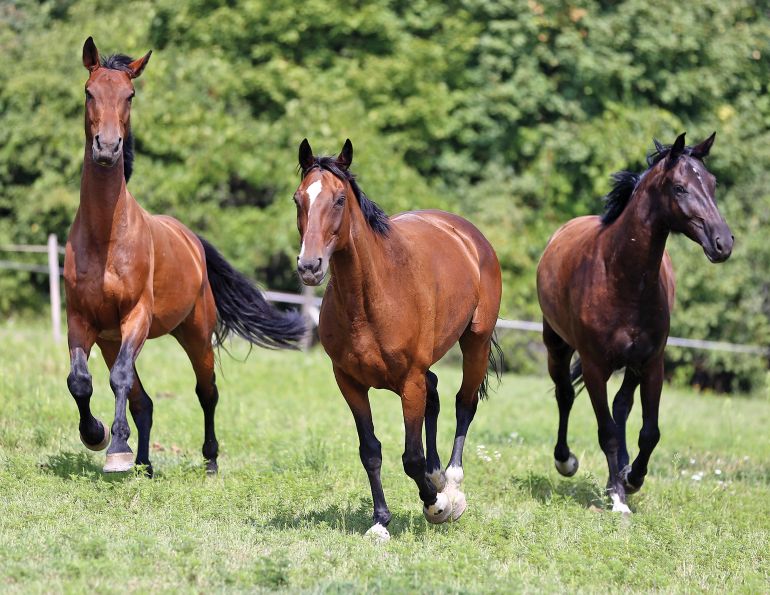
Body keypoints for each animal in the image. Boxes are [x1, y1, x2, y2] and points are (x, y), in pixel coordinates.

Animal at [64, 37, 305, 476]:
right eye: (89, 92)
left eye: (130, 95)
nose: (107, 147)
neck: (106, 237)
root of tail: (191, 240)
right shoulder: (81, 320)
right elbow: (81, 382)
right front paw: (97, 436)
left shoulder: (136, 317)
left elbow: (120, 379)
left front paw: (115, 449)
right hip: (111, 340)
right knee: (143, 401)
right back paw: (143, 465)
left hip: (194, 333)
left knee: (206, 392)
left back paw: (209, 463)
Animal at [293, 138, 503, 540]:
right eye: (298, 199)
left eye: (339, 199)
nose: (310, 266)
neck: (372, 298)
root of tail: (467, 234)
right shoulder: (349, 382)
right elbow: (371, 450)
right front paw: (380, 522)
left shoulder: (409, 383)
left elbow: (411, 457)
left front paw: (437, 505)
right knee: (436, 393)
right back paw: (438, 477)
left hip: (476, 343)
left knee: (463, 403)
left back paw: (451, 484)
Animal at [536, 132, 733, 513]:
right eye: (679, 188)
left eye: (713, 183)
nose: (723, 243)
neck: (621, 277)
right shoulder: (595, 368)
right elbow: (606, 432)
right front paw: (618, 496)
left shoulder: (652, 363)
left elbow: (648, 431)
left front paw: (631, 479)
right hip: (557, 345)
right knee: (566, 395)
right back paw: (566, 461)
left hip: (632, 365)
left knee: (622, 407)